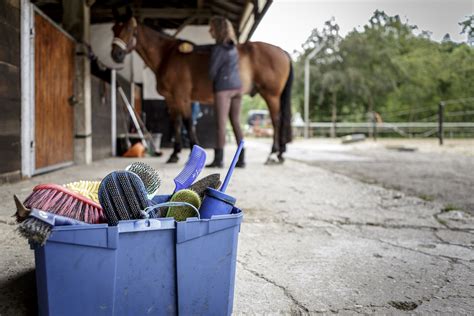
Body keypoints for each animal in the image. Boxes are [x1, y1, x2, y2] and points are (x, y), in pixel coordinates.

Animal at [111, 14, 292, 163]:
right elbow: (176, 123)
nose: (116, 54)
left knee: (276, 120)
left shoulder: (181, 97)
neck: (167, 56)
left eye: (130, 29)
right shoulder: (171, 99)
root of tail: (282, 51)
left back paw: (273, 154)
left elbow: (188, 122)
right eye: (114, 29)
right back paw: (279, 154)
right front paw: (174, 154)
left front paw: (191, 152)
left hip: (271, 95)